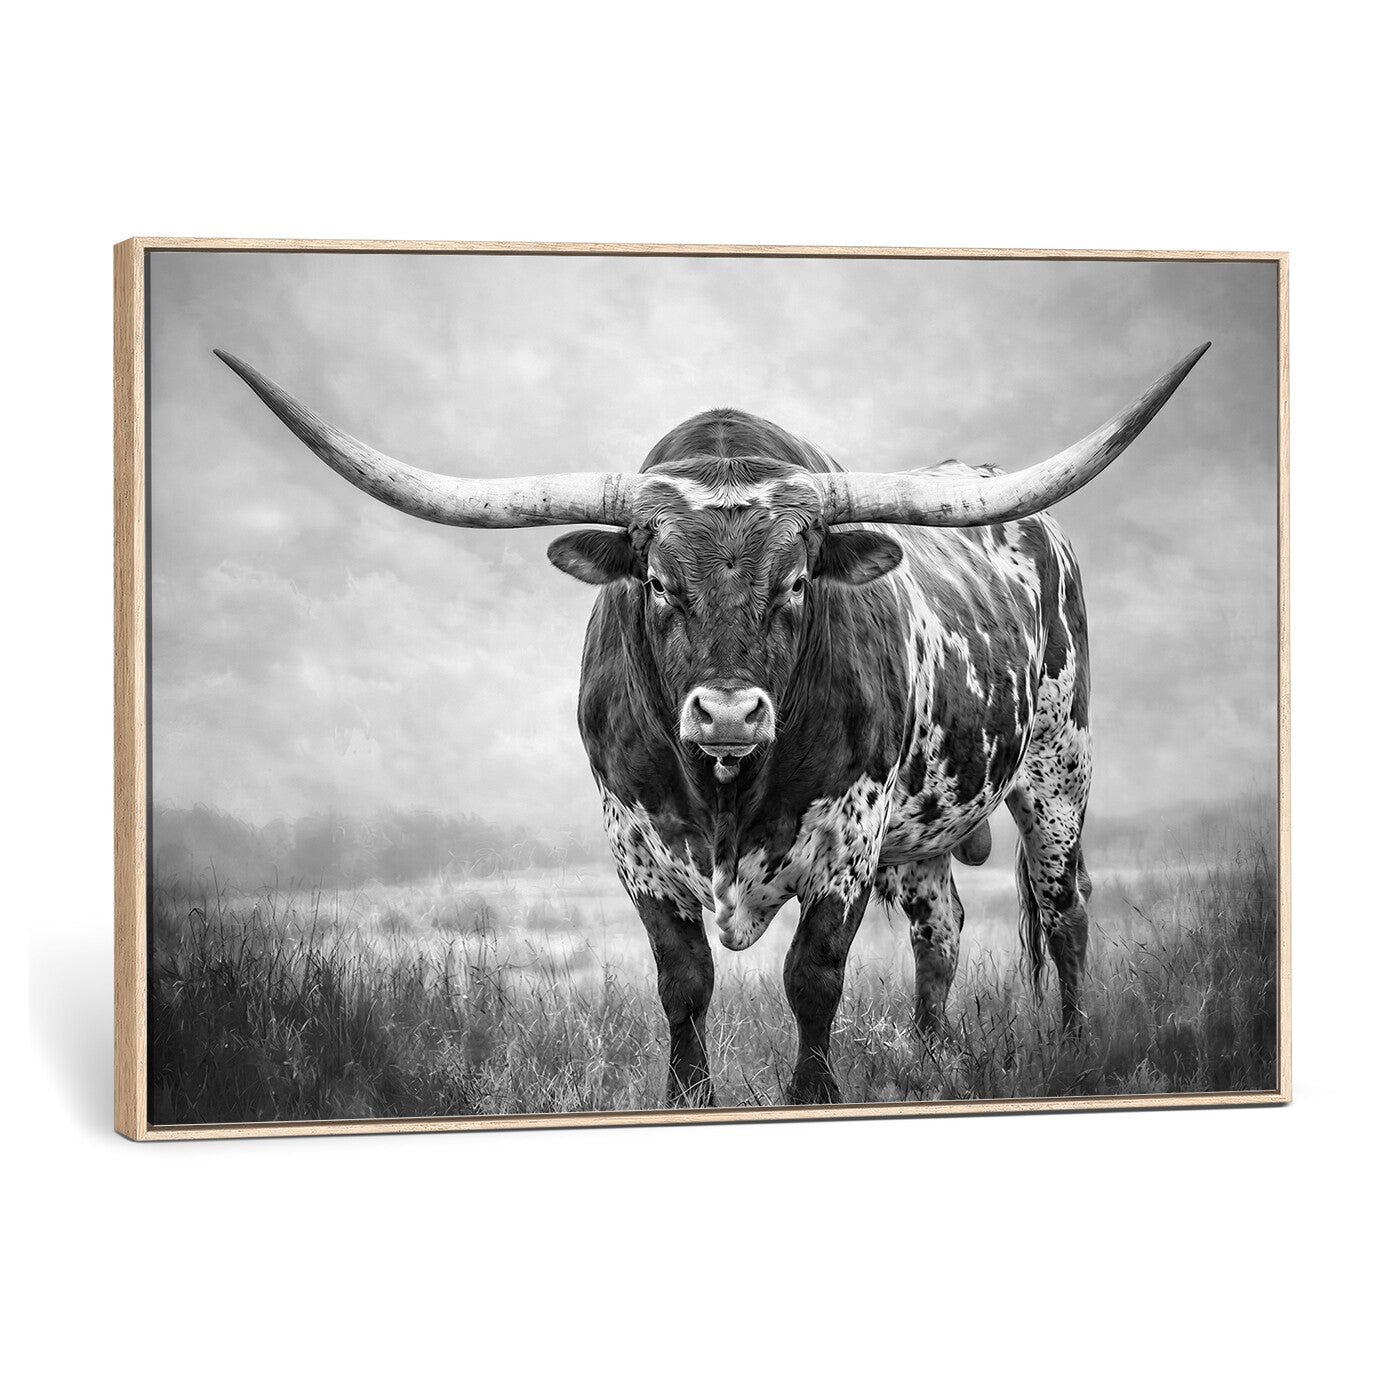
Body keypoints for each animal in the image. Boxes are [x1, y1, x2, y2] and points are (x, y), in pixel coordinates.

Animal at [216, 342, 1208, 1105]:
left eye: (798, 581)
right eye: (657, 583)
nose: (728, 711)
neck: (728, 791)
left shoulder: (848, 844)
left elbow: (813, 979)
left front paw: (814, 1095)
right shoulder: (635, 847)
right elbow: (683, 985)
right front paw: (686, 1098)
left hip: (1058, 771)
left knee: (1063, 907)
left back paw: (1072, 1049)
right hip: (925, 829)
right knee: (943, 930)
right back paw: (932, 1058)